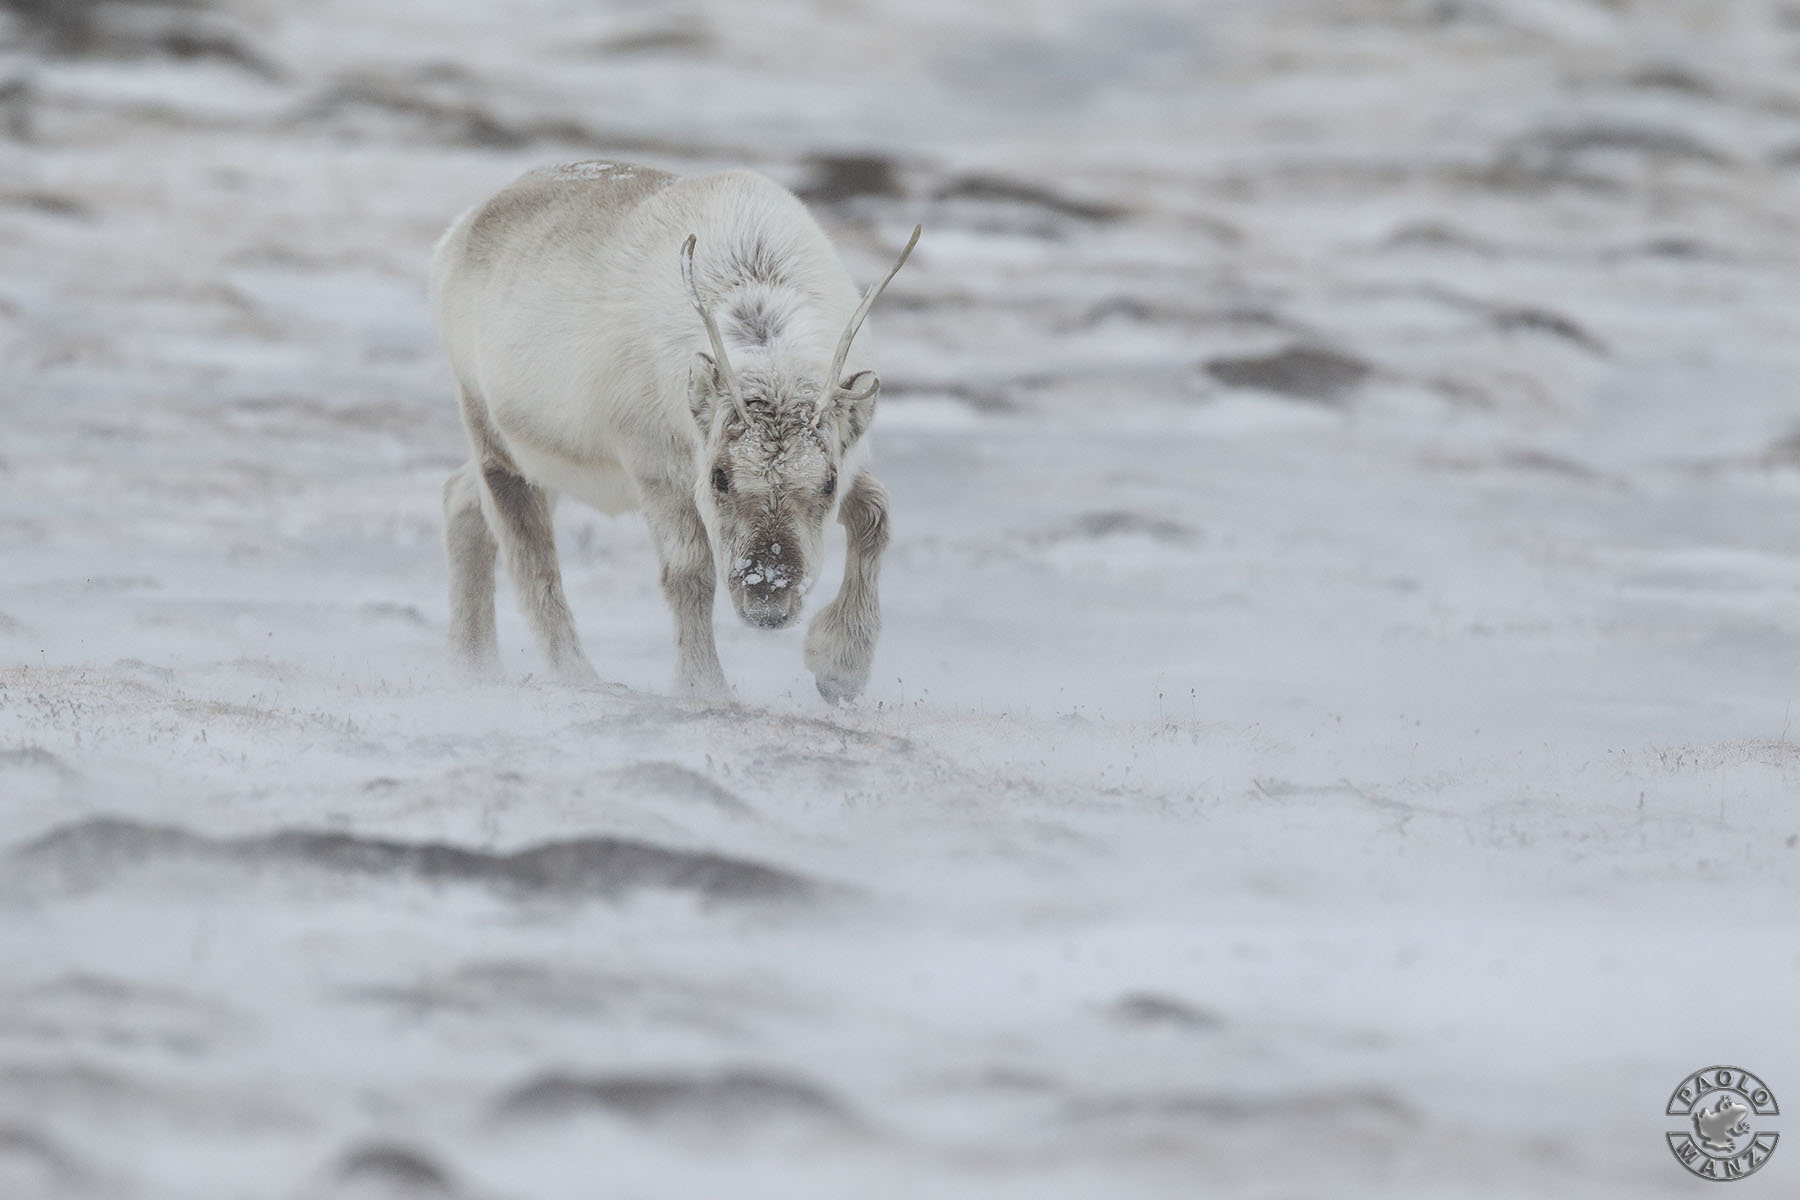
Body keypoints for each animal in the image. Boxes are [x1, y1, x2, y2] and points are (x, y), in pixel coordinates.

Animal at [427, 161, 919, 703]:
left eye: (827, 483)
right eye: (720, 477)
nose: (767, 601)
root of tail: (453, 237)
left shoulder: (850, 457)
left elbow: (876, 514)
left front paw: (840, 669)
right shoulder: (658, 469)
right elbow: (689, 574)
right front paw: (704, 687)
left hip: (545, 464)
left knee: (460, 497)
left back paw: (473, 666)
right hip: (495, 439)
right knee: (530, 561)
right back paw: (581, 678)